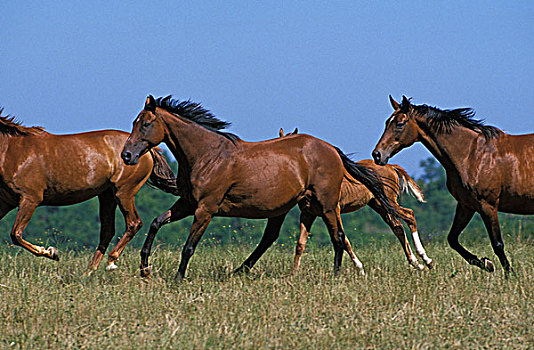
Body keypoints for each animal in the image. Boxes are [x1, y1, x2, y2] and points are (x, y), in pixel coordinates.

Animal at [0, 108, 180, 272]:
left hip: (123, 192)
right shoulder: (5, 202)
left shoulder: (30, 198)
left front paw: (51, 252)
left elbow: (16, 234)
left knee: (133, 223)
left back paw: (111, 262)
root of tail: (149, 150)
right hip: (107, 196)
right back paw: (89, 273)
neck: (12, 151)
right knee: (107, 231)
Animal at [122, 95, 406, 278]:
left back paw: (335, 277)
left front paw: (178, 279)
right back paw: (240, 271)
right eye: (134, 123)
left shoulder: (205, 209)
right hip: (287, 208)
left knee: (337, 236)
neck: (207, 155)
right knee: (271, 238)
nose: (127, 155)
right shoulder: (187, 204)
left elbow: (188, 246)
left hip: (325, 204)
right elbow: (156, 223)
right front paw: (144, 268)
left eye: (145, 124)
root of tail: (332, 150)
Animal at [278, 127, 434, 274]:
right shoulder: (308, 214)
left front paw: (360, 268)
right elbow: (300, 244)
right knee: (398, 228)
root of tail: (391, 166)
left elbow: (343, 239)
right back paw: (416, 263)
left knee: (409, 215)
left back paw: (425, 260)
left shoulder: (333, 211)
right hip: (379, 205)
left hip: (388, 202)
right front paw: (293, 273)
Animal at [372, 96, 534, 276]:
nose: (377, 155)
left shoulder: (488, 206)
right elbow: (452, 239)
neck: (472, 155)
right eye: (387, 122)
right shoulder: (466, 205)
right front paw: (486, 263)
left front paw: (508, 276)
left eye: (400, 123)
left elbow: (497, 244)